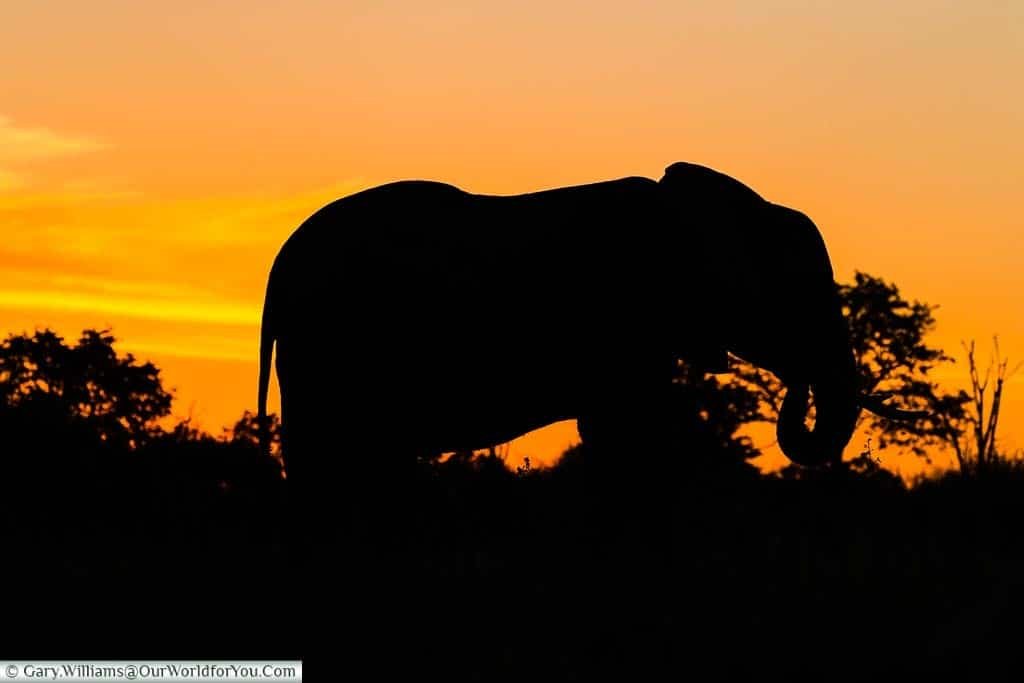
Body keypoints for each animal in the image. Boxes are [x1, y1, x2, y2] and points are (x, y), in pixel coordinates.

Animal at [258, 162, 913, 489]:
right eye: (796, 296)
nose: (797, 378)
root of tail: (278, 267)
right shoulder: (626, 316)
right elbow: (623, 429)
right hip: (331, 345)